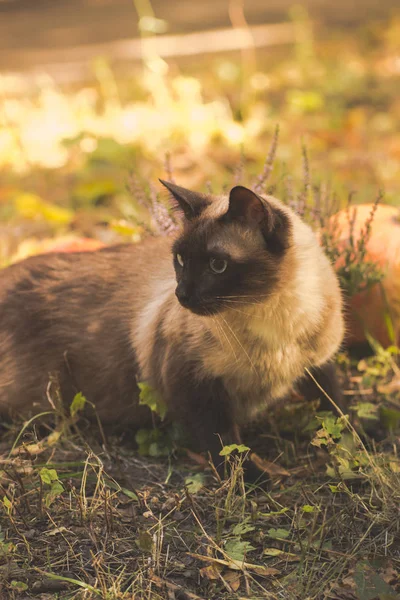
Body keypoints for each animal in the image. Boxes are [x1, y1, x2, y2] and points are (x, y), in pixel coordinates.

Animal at [0, 180, 344, 480]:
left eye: (217, 265)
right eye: (180, 259)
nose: (183, 295)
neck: (270, 320)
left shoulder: (318, 366)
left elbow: (336, 412)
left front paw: (349, 445)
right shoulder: (193, 383)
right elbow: (225, 443)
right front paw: (252, 478)